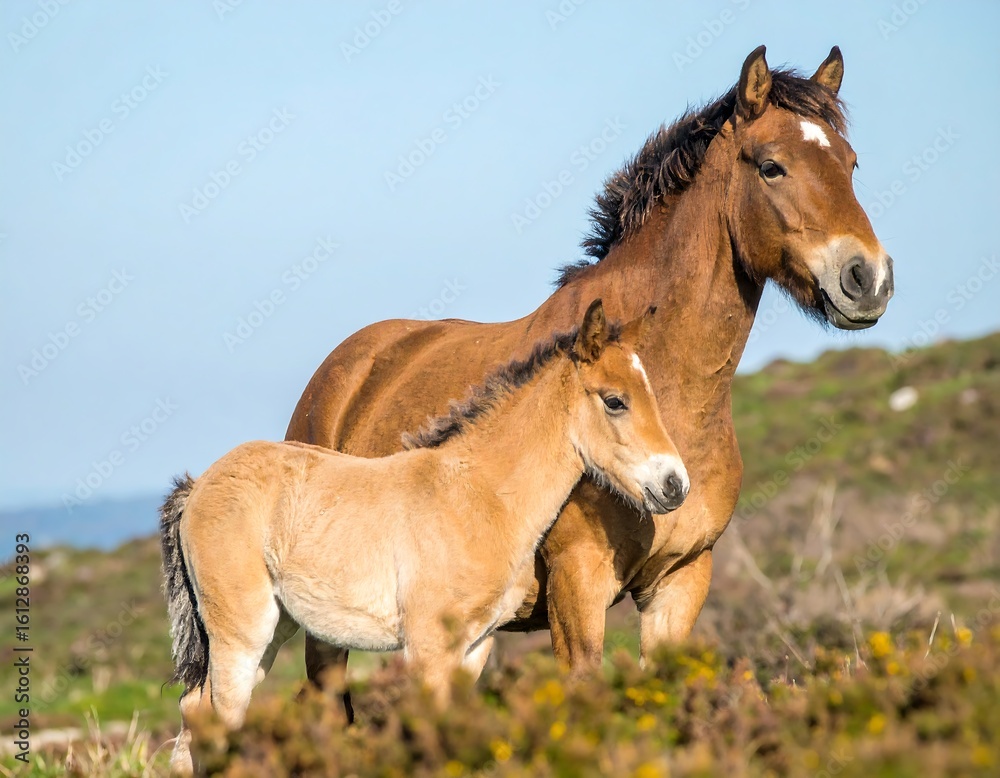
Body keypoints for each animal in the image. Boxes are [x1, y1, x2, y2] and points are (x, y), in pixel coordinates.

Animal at [160, 300, 688, 775]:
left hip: (275, 628)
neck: (478, 496)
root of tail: (199, 485)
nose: (675, 485)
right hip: (242, 631)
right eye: (615, 401)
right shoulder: (428, 646)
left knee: (194, 715)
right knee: (218, 719)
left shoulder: (475, 647)